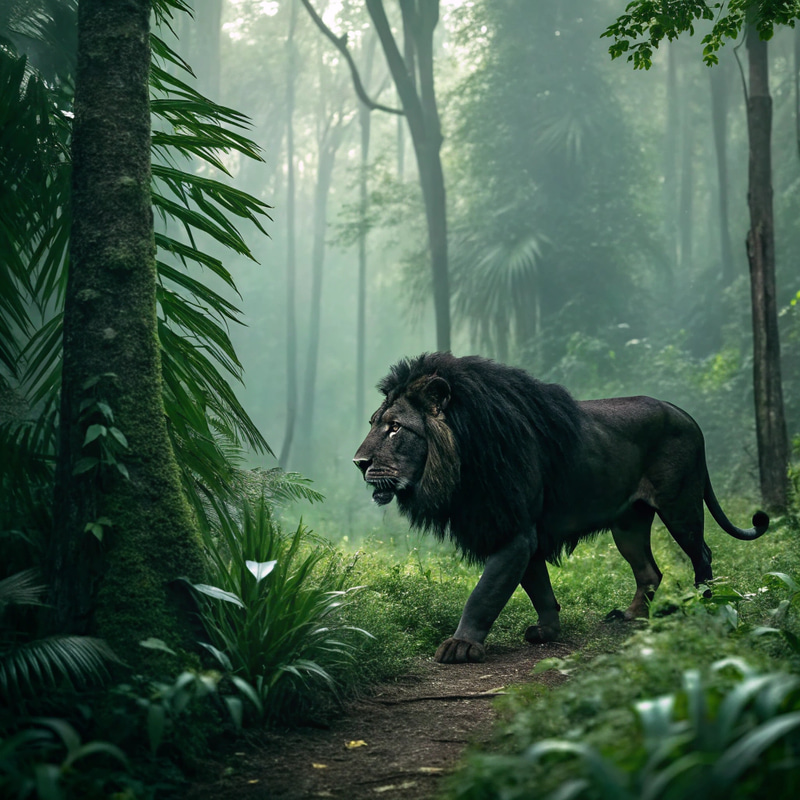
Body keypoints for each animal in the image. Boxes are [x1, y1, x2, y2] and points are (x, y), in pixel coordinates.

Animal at [353, 352, 769, 664]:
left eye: (394, 427)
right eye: (374, 423)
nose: (358, 462)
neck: (461, 456)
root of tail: (682, 412)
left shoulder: (514, 532)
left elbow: (485, 594)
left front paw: (462, 645)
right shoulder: (520, 530)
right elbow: (537, 585)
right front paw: (548, 631)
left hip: (680, 504)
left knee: (703, 554)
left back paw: (706, 607)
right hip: (628, 523)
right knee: (650, 571)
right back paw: (630, 616)